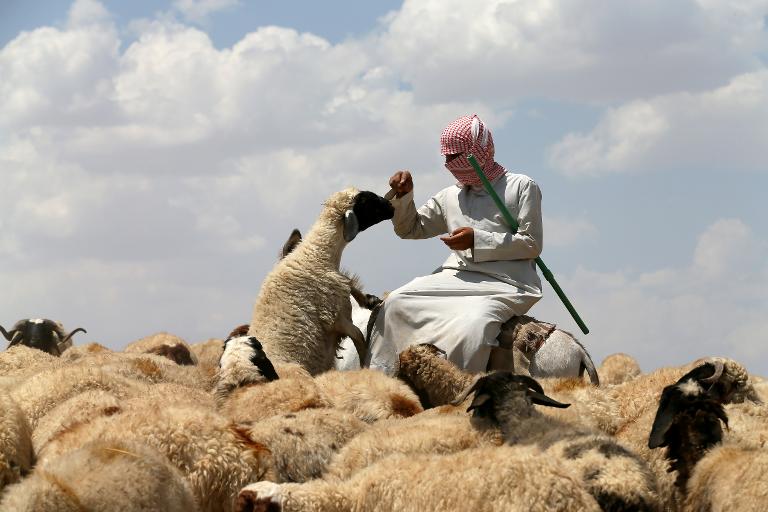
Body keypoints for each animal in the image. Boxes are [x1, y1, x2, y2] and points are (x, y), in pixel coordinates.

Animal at [249, 189, 396, 376]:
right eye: (366, 201)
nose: (391, 206)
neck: (317, 254)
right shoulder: (335, 319)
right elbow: (359, 337)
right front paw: (365, 363)